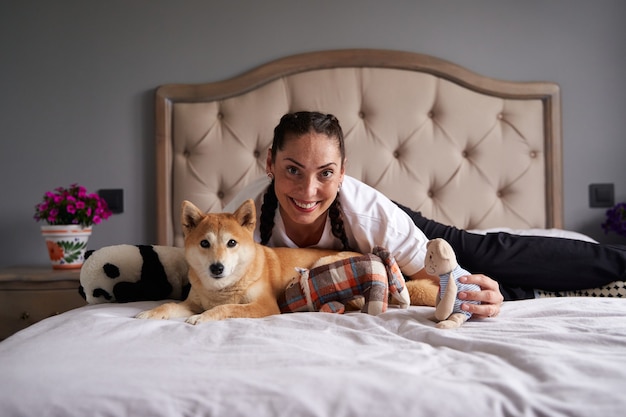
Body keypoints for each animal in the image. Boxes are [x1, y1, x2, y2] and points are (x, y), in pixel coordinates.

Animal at [138, 198, 360, 322]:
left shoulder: (265, 306)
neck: (222, 290)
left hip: (322, 263)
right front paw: (150, 312)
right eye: (204, 243)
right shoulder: (191, 303)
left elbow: (228, 307)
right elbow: (168, 305)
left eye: (231, 242)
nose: (217, 267)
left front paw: (202, 317)